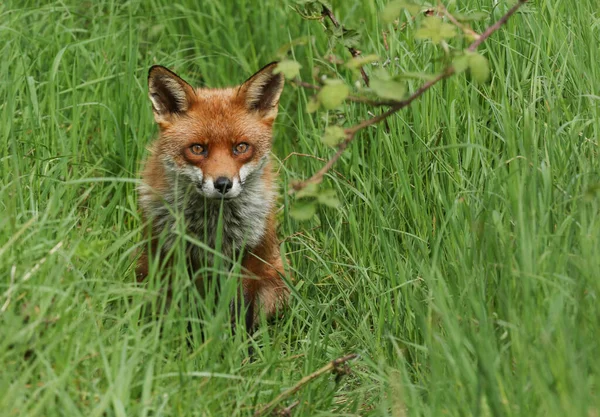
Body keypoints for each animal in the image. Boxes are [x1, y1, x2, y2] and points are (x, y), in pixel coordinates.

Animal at [139, 61, 292, 330]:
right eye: (198, 149)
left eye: (241, 147)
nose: (223, 184)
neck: (214, 229)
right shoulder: (175, 259)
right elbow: (183, 312)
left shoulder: (249, 258)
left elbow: (242, 314)